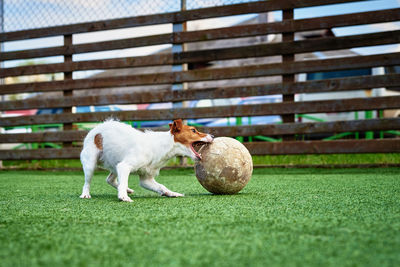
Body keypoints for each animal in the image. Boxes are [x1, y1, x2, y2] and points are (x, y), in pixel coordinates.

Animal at [79, 119, 214, 203]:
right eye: (193, 130)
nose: (212, 136)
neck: (164, 146)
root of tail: (96, 128)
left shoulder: (146, 178)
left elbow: (161, 186)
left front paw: (171, 193)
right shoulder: (125, 166)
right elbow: (124, 182)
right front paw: (123, 196)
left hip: (115, 163)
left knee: (110, 179)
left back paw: (126, 190)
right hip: (90, 163)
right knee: (87, 182)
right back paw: (85, 194)